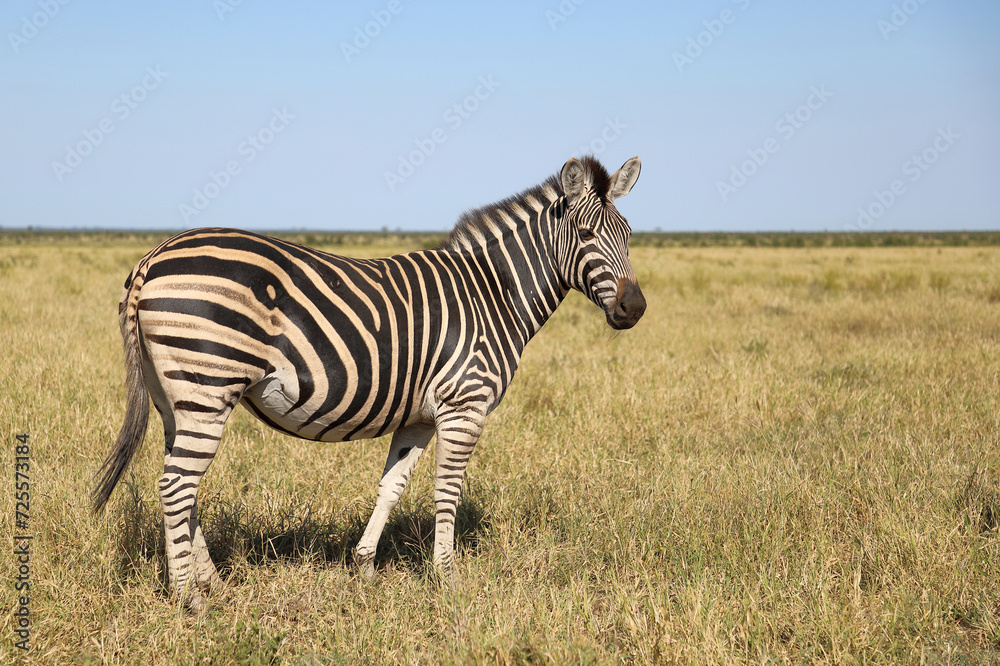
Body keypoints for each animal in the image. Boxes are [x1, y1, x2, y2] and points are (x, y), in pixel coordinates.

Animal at [93, 155, 646, 610]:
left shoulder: (421, 415)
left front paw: (363, 567)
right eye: (587, 236)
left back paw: (212, 584)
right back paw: (189, 598)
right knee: (176, 485)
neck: (493, 291)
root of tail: (152, 257)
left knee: (184, 487)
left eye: (629, 235)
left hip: (176, 397)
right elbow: (447, 490)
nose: (634, 309)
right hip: (208, 385)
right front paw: (448, 580)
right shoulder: (464, 405)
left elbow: (391, 486)